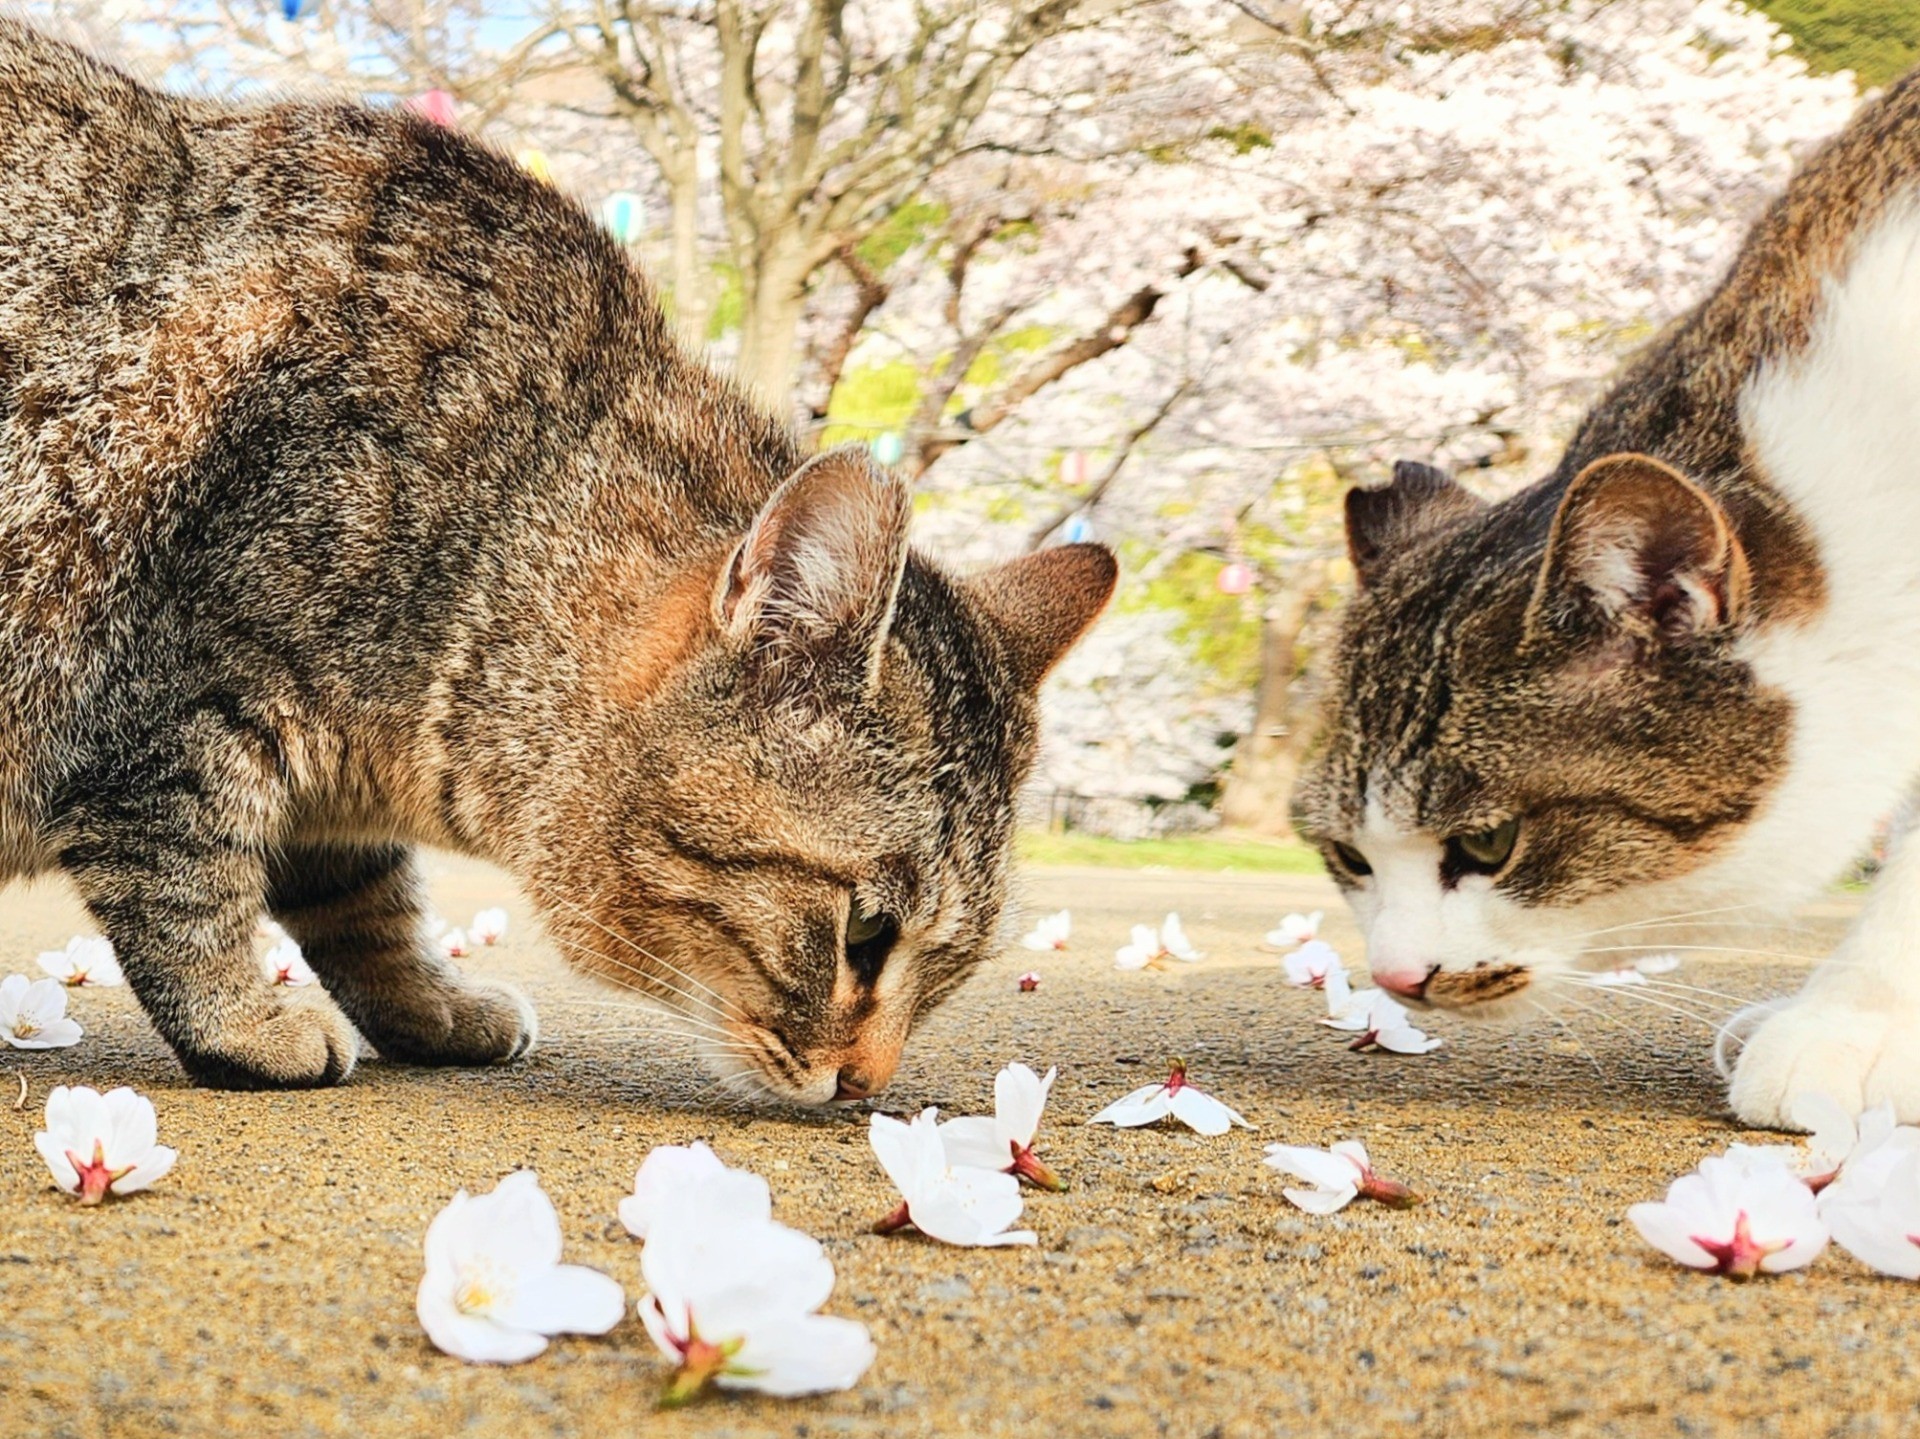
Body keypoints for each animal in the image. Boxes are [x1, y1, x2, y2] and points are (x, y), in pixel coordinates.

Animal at [0, 22, 1113, 1091]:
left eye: (953, 968)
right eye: (867, 934)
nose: (867, 1088)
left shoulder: (331, 802)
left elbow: (369, 904)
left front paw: (428, 1002)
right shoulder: (169, 708)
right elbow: (189, 885)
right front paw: (242, 1019)